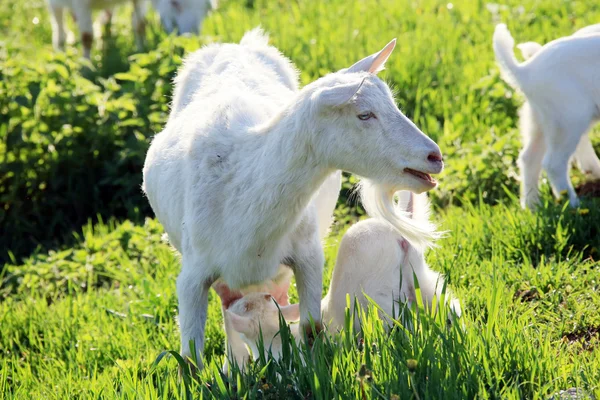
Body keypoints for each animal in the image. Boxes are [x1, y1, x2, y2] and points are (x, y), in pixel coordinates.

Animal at [47, 0, 216, 58]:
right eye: (174, 3)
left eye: (207, 10)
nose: (190, 38)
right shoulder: (81, 3)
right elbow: (87, 37)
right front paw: (87, 70)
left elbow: (140, 25)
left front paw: (141, 52)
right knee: (59, 23)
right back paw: (60, 51)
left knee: (108, 15)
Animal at [223, 192, 462, 364]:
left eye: (243, 307)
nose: (232, 302)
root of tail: (398, 232)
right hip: (419, 275)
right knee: (448, 305)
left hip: (379, 296)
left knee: (399, 323)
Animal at [492, 24, 600, 209]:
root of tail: (525, 71)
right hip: (569, 120)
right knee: (553, 164)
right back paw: (573, 205)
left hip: (541, 120)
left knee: (529, 158)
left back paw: (532, 206)